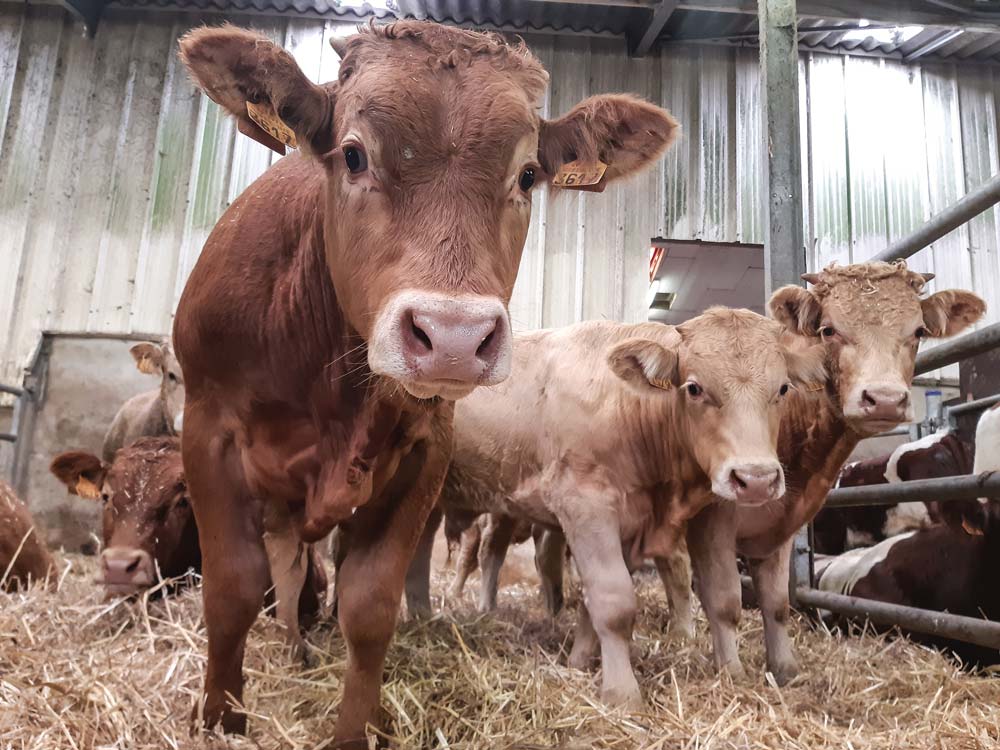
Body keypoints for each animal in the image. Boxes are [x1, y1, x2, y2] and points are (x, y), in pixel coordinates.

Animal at [174, 20, 680, 744]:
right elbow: (232, 589)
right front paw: (221, 717)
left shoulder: (425, 450)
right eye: (353, 155)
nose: (453, 336)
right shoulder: (207, 428)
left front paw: (356, 729)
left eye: (528, 175)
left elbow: (369, 605)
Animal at [410, 308, 824, 708]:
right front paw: (622, 693)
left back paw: (421, 615)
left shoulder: (643, 520)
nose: (756, 479)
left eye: (783, 388)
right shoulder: (585, 506)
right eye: (694, 387)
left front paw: (580, 661)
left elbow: (603, 602)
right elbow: (614, 602)